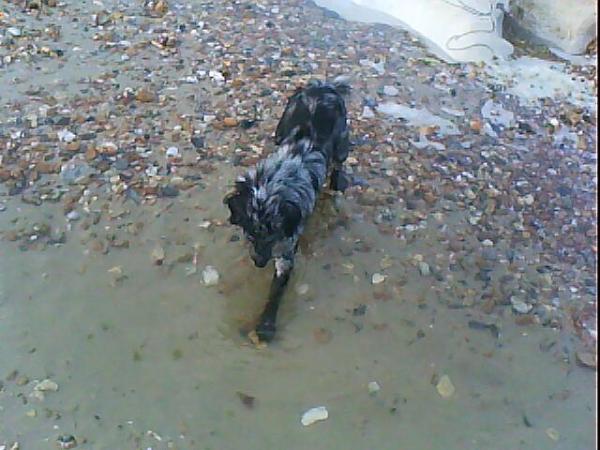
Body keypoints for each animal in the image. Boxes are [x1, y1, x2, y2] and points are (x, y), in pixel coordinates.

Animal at [223, 78, 350, 342]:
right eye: (250, 231)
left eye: (274, 233)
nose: (260, 263)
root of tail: (324, 85)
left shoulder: (286, 251)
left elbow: (275, 291)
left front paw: (266, 324)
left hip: (343, 143)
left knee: (339, 163)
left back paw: (337, 182)